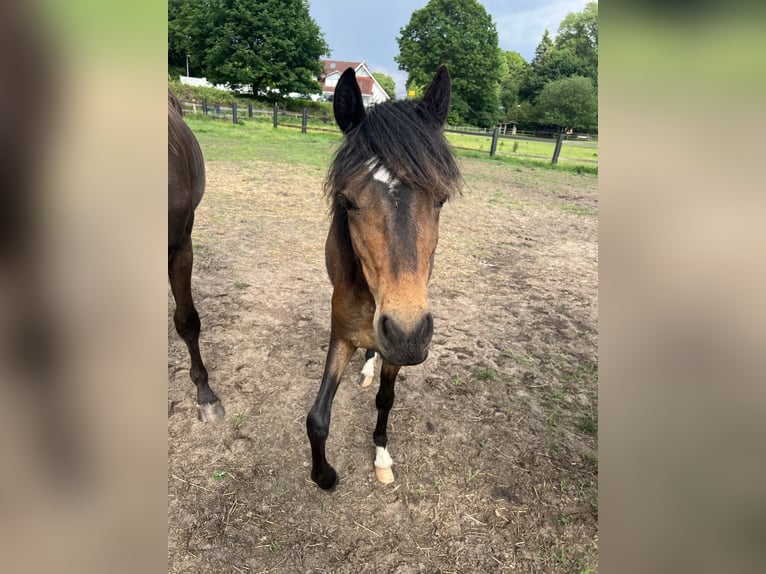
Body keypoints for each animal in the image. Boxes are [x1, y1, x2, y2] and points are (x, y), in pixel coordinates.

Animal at [306, 66, 462, 490]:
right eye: (347, 201)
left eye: (441, 198)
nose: (407, 333)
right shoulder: (341, 336)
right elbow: (317, 417)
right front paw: (324, 476)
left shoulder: (397, 352)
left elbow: (385, 400)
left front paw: (381, 457)